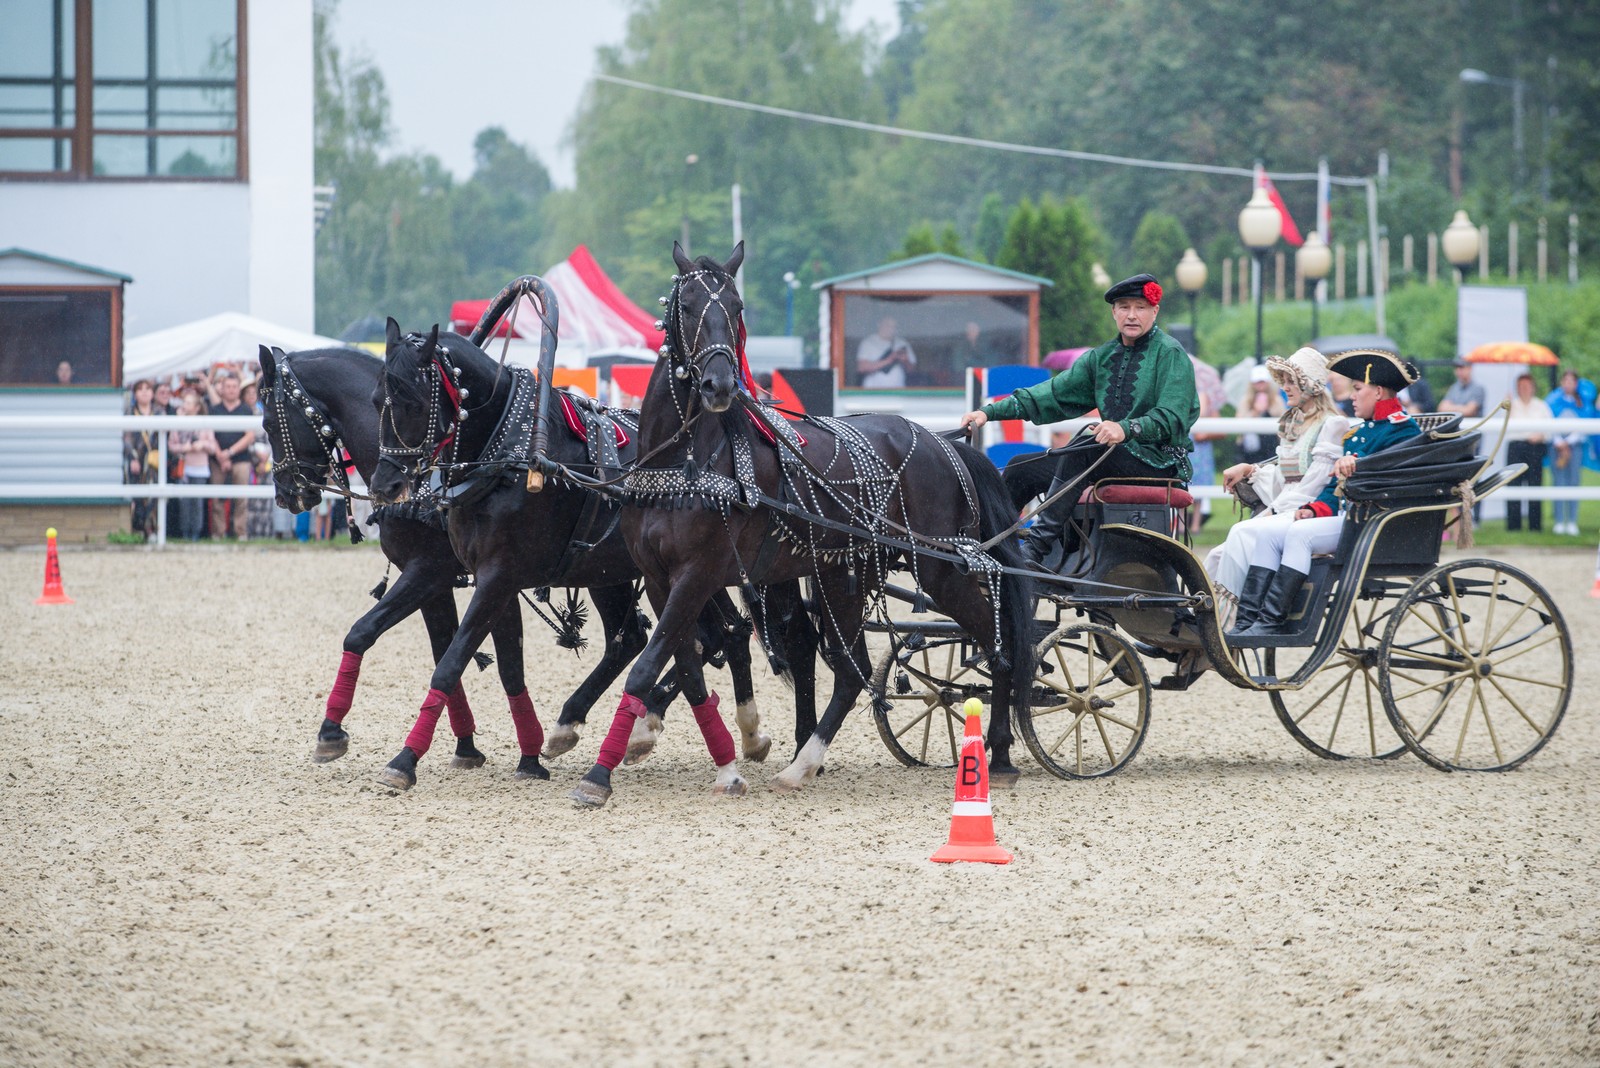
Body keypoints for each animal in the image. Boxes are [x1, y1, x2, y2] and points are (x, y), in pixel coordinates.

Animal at [366, 316, 812, 793]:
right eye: (376, 400)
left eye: (414, 401)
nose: (385, 485)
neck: (506, 451)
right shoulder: (489, 577)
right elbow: (506, 664)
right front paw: (528, 756)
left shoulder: (494, 575)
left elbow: (451, 662)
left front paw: (405, 758)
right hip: (630, 573)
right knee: (694, 636)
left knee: (754, 636)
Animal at [569, 244, 1030, 808]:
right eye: (688, 307)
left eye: (738, 309)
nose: (719, 385)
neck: (685, 461)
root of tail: (946, 443)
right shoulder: (659, 580)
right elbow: (688, 669)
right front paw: (724, 764)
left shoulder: (697, 575)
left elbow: (647, 666)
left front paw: (599, 774)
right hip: (844, 574)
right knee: (851, 668)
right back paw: (805, 763)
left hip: (940, 568)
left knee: (998, 641)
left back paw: (998, 752)